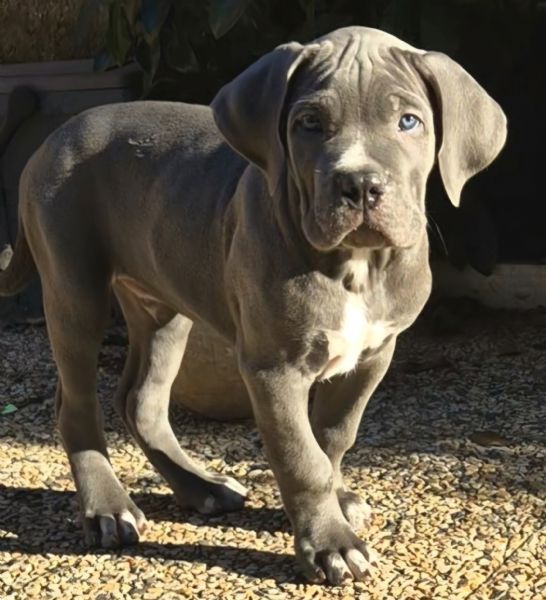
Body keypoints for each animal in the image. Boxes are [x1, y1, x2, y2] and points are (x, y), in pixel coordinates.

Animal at [0, 29, 504, 584]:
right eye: (310, 123)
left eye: (409, 121)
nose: (360, 184)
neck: (356, 264)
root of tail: (54, 138)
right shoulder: (273, 367)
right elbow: (300, 455)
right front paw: (329, 544)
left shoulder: (374, 354)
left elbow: (333, 436)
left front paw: (336, 502)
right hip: (75, 289)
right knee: (76, 405)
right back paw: (108, 508)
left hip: (163, 306)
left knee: (140, 400)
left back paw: (202, 487)